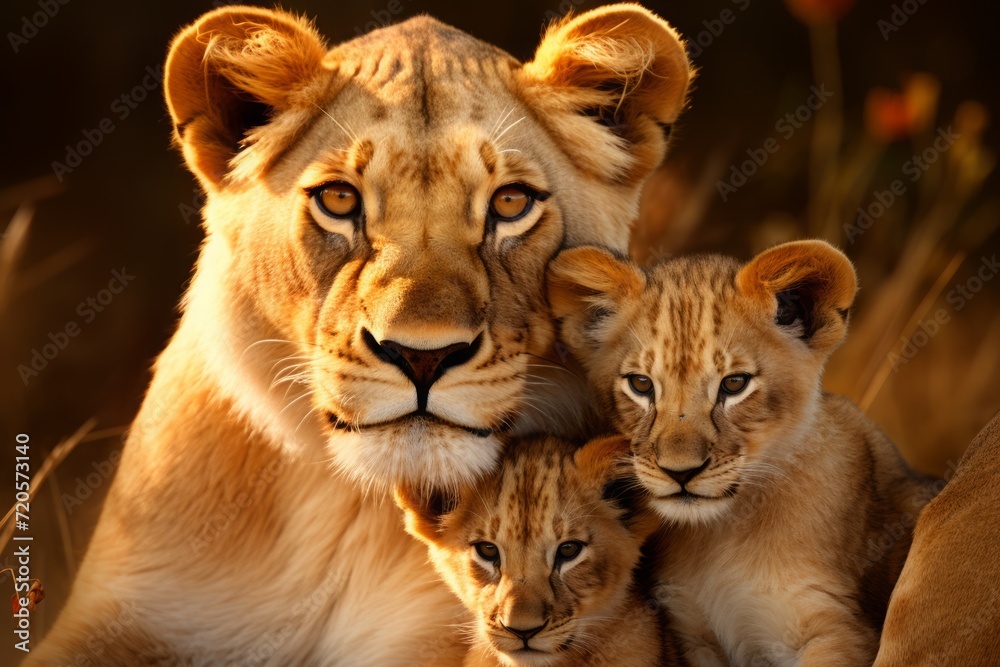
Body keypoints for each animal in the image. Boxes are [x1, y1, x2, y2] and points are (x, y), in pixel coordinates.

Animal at [546, 240, 938, 665]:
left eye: (734, 384)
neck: (723, 534)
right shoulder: (692, 634)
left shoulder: (838, 627)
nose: (679, 472)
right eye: (641, 384)